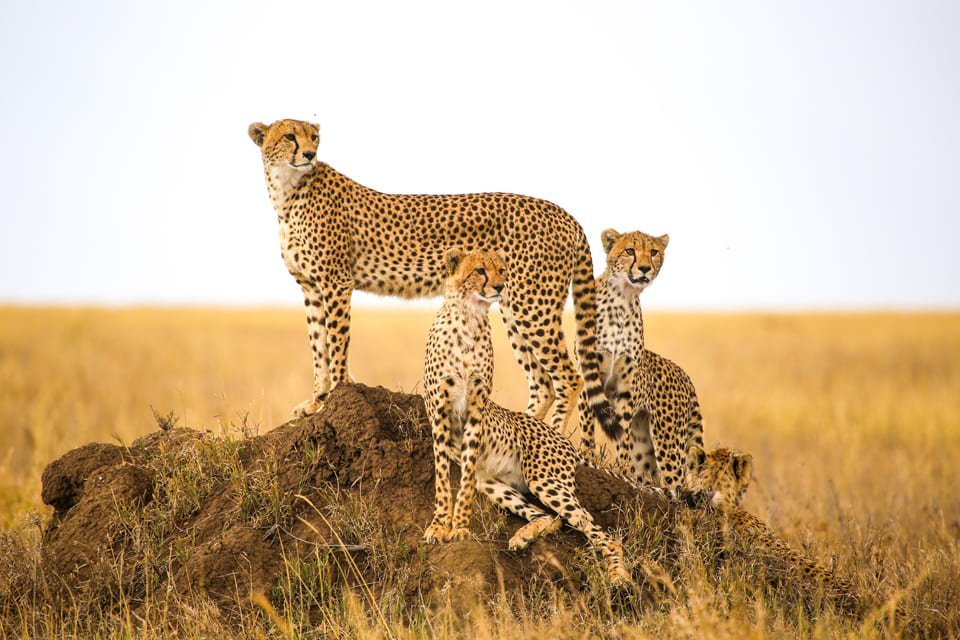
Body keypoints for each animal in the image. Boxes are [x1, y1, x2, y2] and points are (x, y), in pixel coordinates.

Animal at [248, 119, 620, 438]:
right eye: (290, 136)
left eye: (314, 137)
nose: (310, 154)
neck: (288, 191)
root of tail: (564, 213)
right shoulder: (311, 286)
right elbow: (318, 346)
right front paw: (316, 400)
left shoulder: (336, 281)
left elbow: (336, 343)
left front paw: (335, 395)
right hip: (512, 304)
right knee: (542, 382)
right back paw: (523, 432)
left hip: (533, 305)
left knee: (569, 377)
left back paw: (551, 436)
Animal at [424, 249, 632, 584]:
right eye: (480, 270)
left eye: (501, 269)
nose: (499, 286)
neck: (468, 317)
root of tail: (561, 438)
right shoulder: (440, 412)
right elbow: (443, 478)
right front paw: (440, 525)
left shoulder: (476, 411)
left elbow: (464, 482)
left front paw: (460, 528)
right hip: (495, 484)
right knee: (552, 517)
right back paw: (523, 536)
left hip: (545, 480)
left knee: (599, 531)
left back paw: (619, 576)